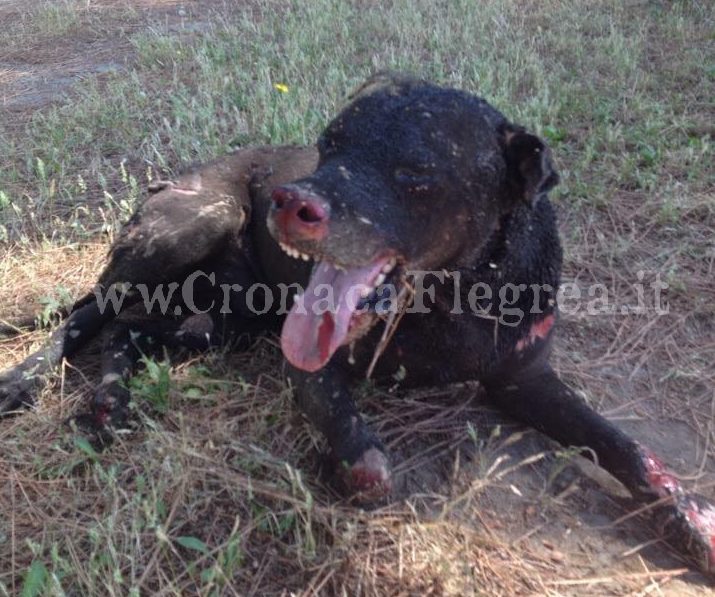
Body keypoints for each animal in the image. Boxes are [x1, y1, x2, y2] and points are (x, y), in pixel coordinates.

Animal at [0, 72, 712, 576]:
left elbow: (625, 447)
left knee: (129, 333)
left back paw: (109, 400)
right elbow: (371, 468)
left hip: (219, 322)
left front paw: (689, 519)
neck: (451, 297)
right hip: (186, 230)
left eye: (416, 173)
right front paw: (336, 470)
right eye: (328, 146)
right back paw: (26, 381)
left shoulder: (527, 380)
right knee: (89, 313)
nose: (286, 200)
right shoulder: (311, 369)